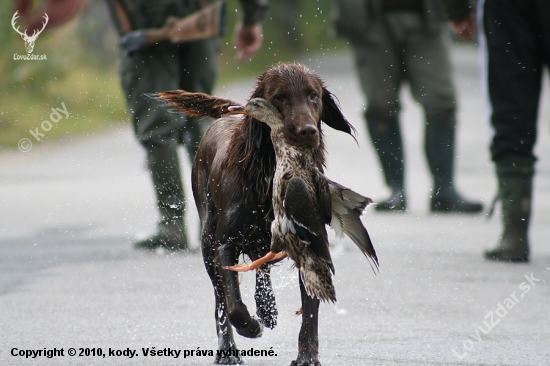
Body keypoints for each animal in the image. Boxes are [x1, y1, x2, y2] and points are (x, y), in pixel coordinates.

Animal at [157, 63, 356, 366]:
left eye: (313, 95)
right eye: (280, 97)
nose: (307, 131)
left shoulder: (310, 246)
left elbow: (310, 313)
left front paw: (307, 356)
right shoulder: (224, 243)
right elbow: (233, 304)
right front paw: (250, 326)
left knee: (261, 269)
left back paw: (267, 309)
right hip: (207, 240)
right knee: (221, 298)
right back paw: (228, 349)